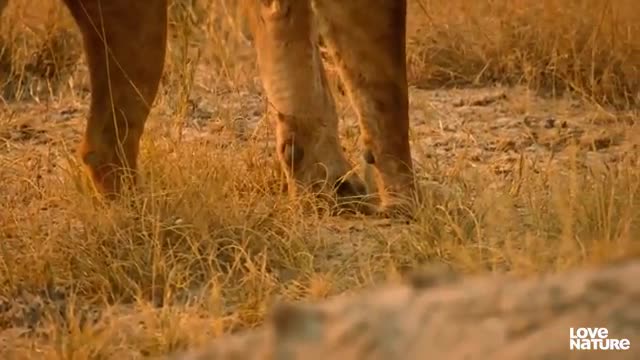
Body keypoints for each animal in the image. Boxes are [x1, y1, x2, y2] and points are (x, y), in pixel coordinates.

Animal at [0, 0, 418, 217]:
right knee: (106, 144)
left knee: (102, 144)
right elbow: (383, 84)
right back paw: (150, 223)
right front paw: (404, 202)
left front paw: (328, 186)